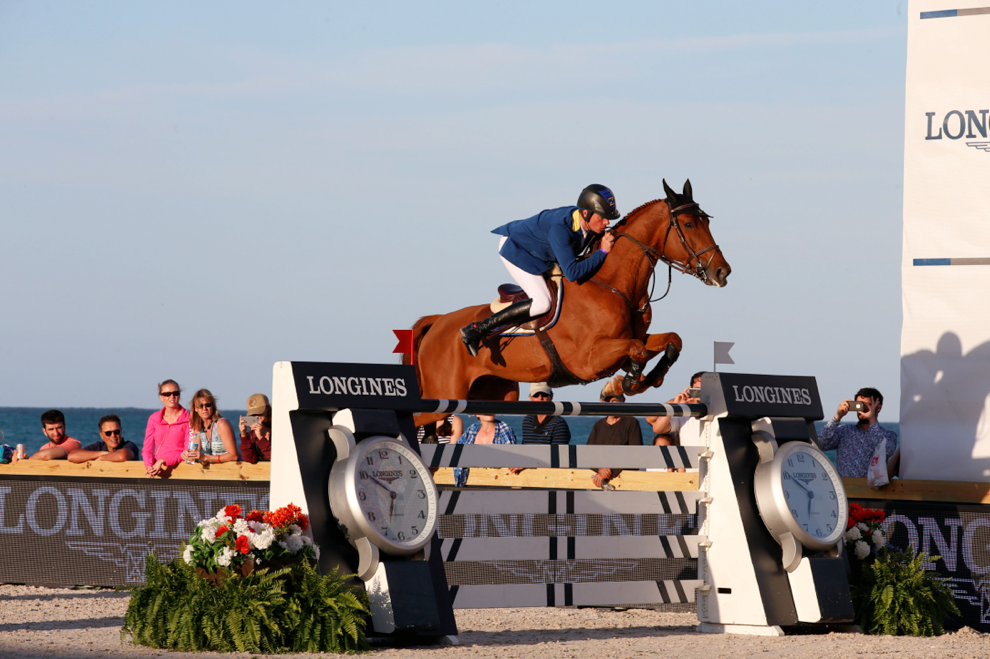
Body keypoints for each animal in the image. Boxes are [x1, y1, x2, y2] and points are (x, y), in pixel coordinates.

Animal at [405, 179, 731, 427]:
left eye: (706, 221)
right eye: (688, 224)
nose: (722, 272)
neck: (612, 285)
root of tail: (437, 322)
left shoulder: (631, 339)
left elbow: (671, 340)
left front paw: (647, 378)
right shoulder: (588, 360)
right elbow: (636, 351)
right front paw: (628, 382)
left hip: (490, 392)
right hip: (443, 393)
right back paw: (472, 334)